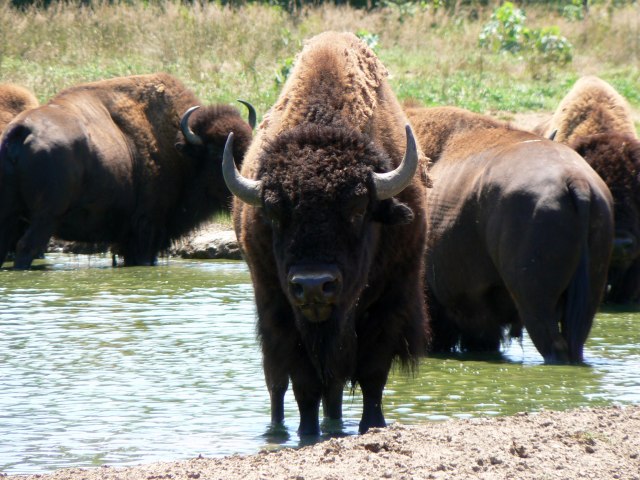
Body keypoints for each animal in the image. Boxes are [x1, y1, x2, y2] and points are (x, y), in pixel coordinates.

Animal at [0, 72, 255, 268]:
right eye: (217, 153)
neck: (180, 150)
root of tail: (21, 131)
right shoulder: (146, 231)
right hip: (45, 217)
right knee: (27, 246)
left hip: (12, 216)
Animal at [222, 30, 428, 436]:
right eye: (274, 213)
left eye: (358, 209)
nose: (314, 285)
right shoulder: (281, 308)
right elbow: (303, 383)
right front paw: (307, 433)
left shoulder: (390, 300)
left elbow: (372, 373)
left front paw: (372, 424)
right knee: (277, 382)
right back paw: (278, 430)